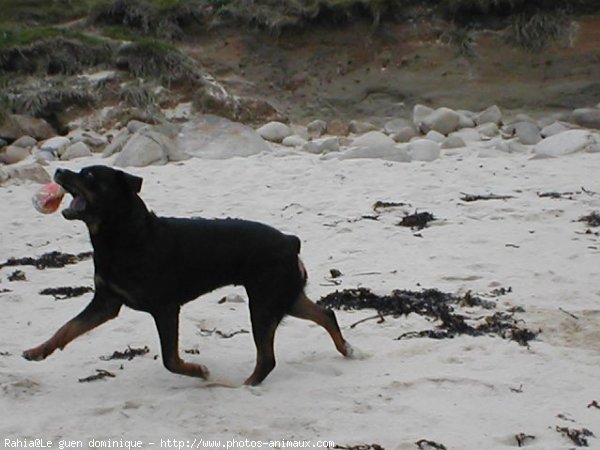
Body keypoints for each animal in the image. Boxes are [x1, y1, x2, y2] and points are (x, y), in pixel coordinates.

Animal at [23, 167, 352, 384]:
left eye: (90, 176)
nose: (59, 169)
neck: (122, 235)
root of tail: (290, 241)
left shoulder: (165, 308)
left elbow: (170, 360)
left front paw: (198, 371)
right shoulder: (106, 302)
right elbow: (68, 327)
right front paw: (38, 351)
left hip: (263, 302)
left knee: (268, 357)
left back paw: (246, 385)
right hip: (283, 295)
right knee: (325, 314)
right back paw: (346, 349)